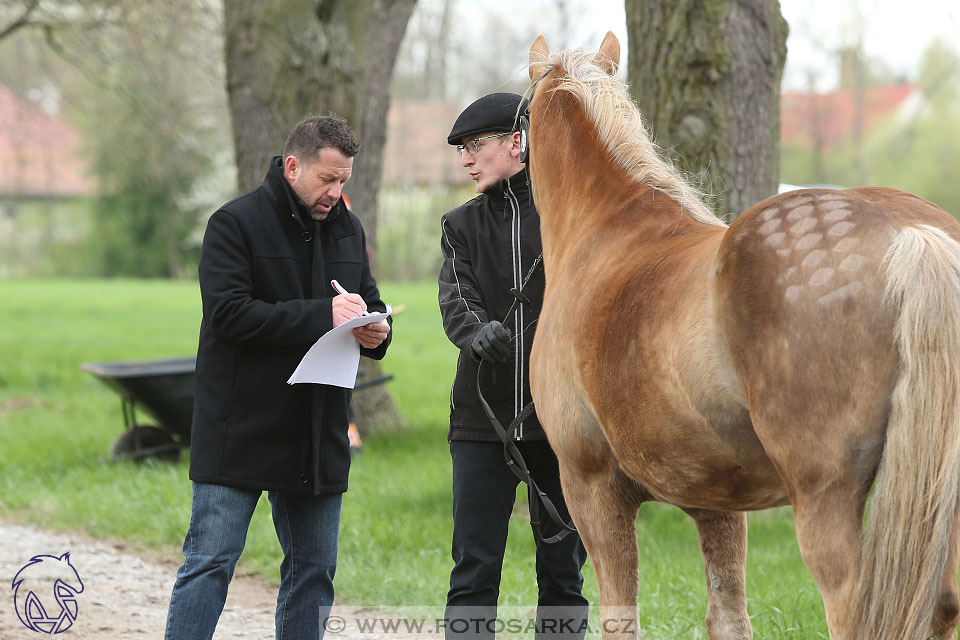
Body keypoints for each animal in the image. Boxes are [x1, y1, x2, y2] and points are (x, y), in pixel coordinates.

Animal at [520, 31, 960, 640]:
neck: (604, 229)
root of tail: (910, 231)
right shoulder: (717, 501)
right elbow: (728, 615)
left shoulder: (591, 485)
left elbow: (620, 617)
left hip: (826, 497)